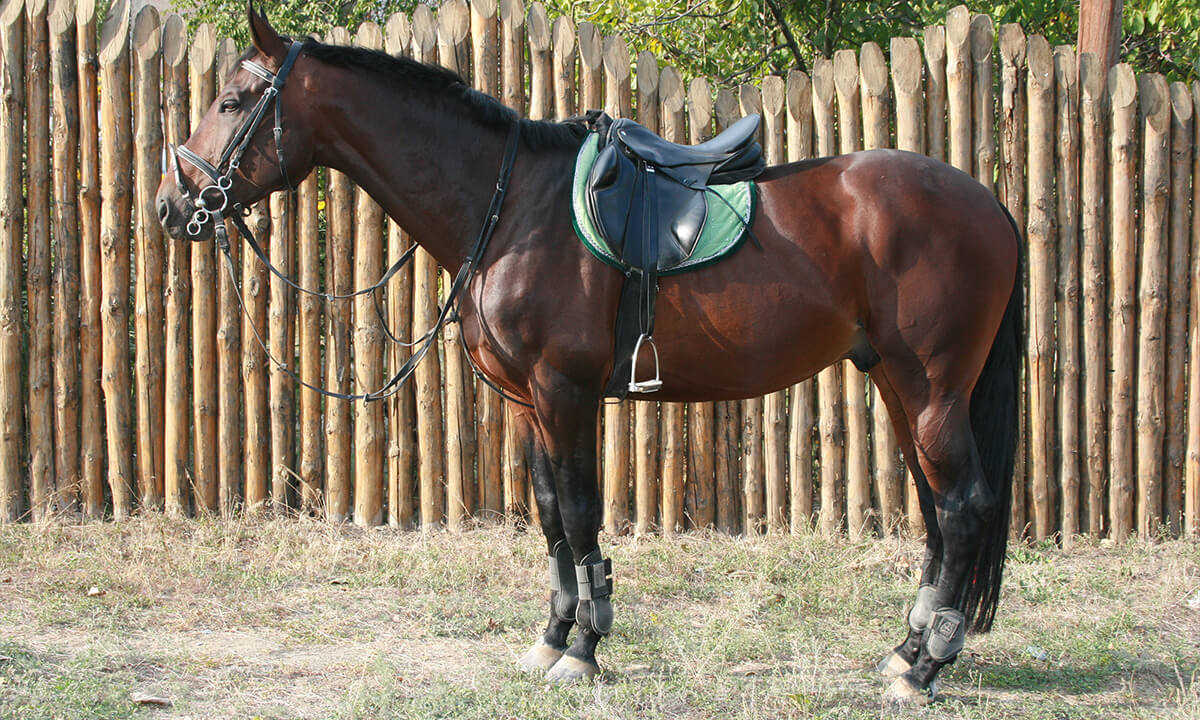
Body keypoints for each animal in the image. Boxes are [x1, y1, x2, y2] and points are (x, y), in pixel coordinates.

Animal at [156, 8, 1022, 705]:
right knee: (940, 514)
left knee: (964, 508)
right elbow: (549, 518)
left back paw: (925, 669)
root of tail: (988, 202)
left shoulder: (564, 391)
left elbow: (578, 513)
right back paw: (907, 650)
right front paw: (550, 638)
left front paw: (584, 650)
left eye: (232, 102)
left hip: (932, 389)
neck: (511, 209)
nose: (172, 205)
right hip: (898, 387)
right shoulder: (524, 402)